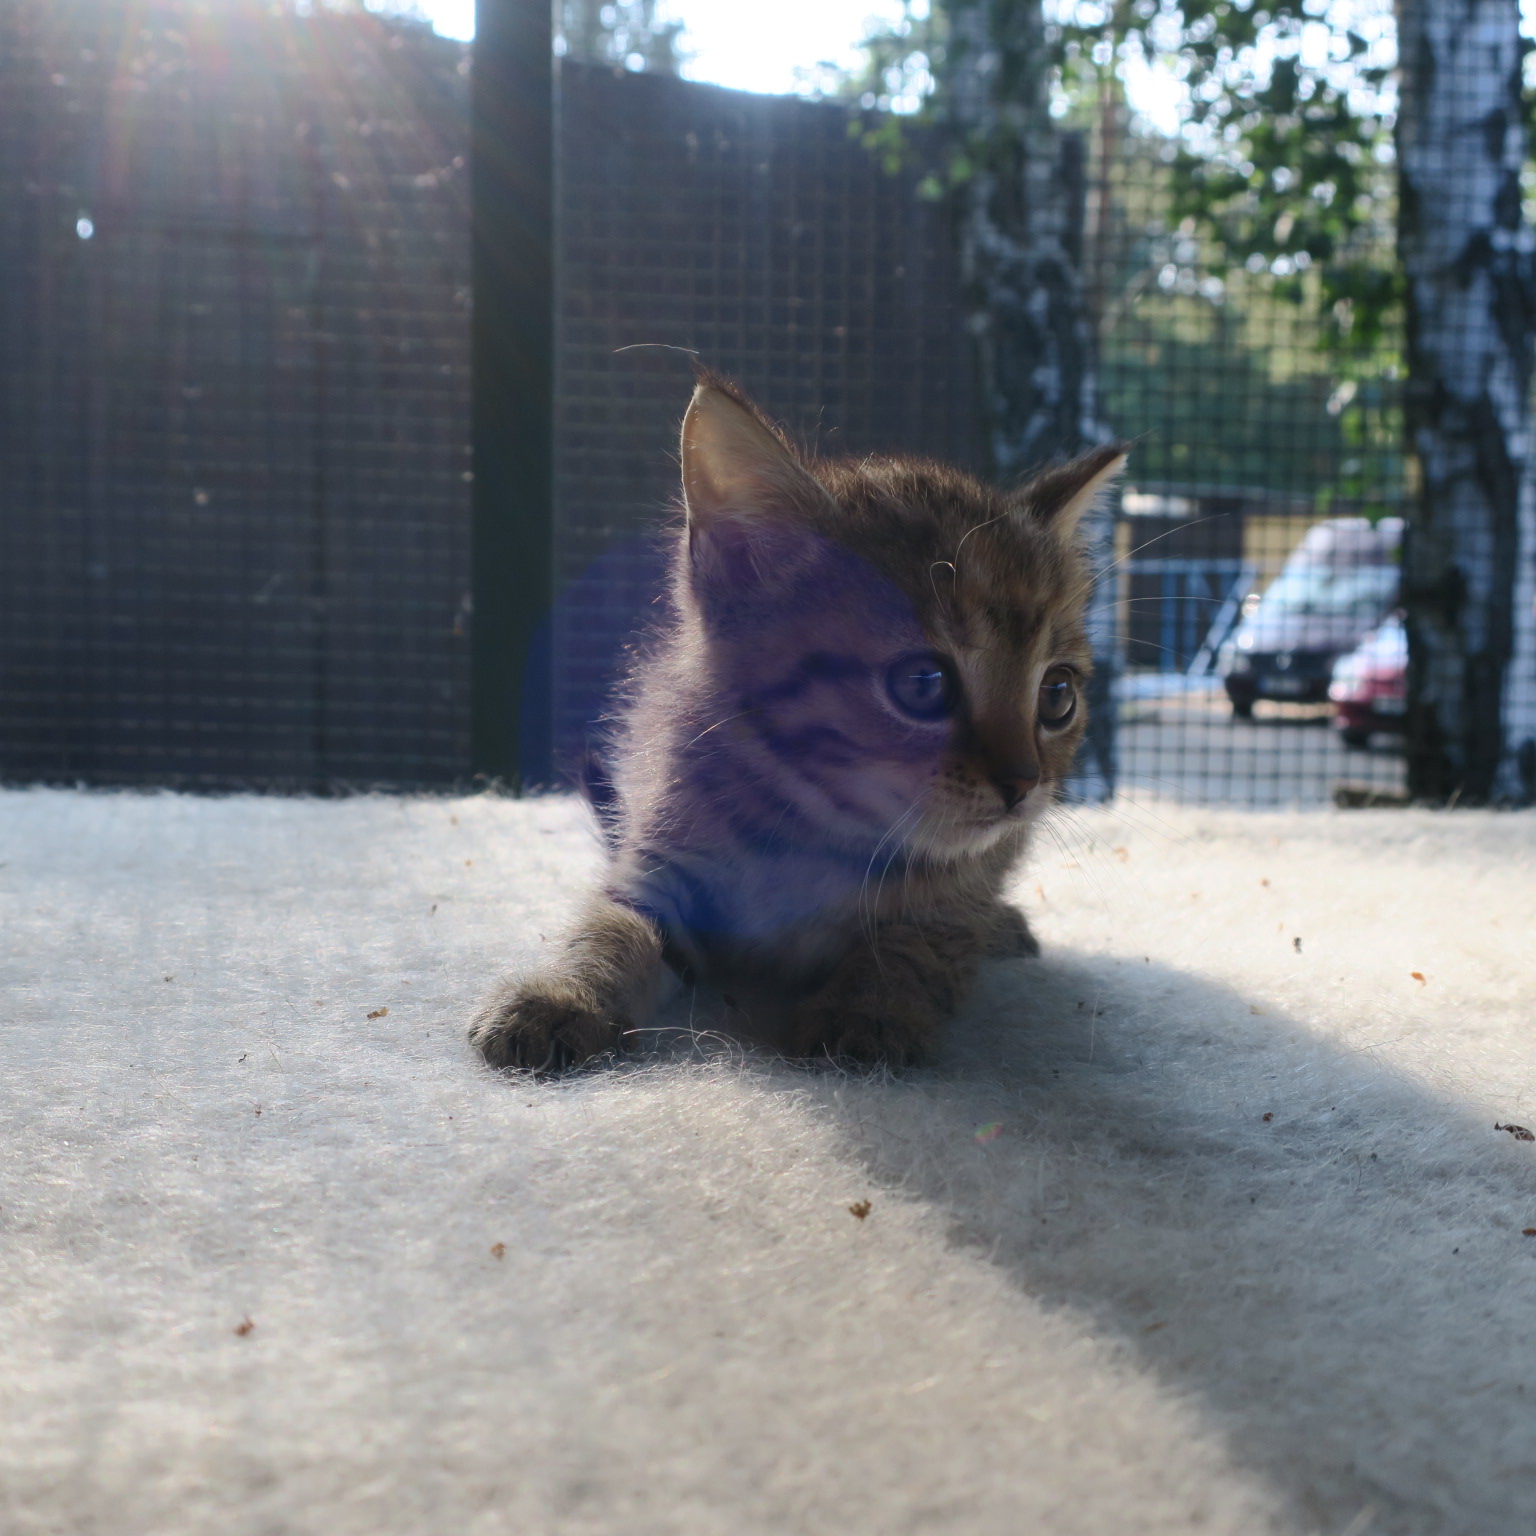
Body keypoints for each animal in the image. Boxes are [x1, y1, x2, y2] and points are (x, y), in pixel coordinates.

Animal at [470, 375, 1125, 1072]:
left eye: (1057, 694)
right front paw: (560, 994)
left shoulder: (951, 898)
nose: (1024, 783)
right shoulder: (660, 868)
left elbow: (921, 942)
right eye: (923, 684)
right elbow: (609, 927)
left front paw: (871, 1010)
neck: (811, 833)